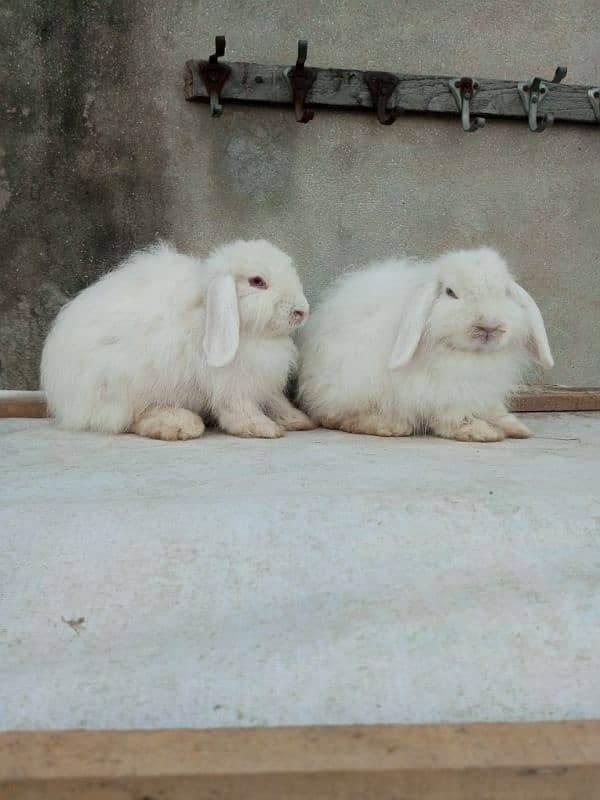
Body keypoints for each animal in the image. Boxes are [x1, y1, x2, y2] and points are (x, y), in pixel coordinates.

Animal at [41, 239, 314, 438]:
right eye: (258, 281)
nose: (302, 311)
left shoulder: (265, 384)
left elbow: (276, 401)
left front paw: (298, 420)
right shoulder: (232, 384)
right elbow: (238, 407)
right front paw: (262, 428)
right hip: (122, 387)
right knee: (129, 419)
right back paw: (181, 424)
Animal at [298, 247, 556, 440]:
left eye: (504, 293)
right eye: (451, 292)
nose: (489, 326)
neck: (471, 355)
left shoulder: (484, 391)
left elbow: (495, 410)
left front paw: (517, 428)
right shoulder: (446, 394)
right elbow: (454, 416)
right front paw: (482, 432)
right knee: (337, 417)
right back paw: (389, 426)